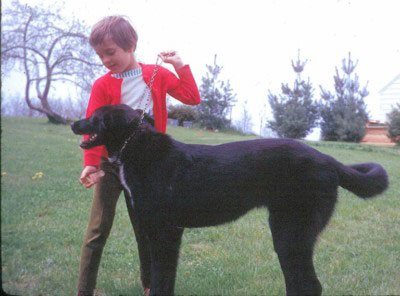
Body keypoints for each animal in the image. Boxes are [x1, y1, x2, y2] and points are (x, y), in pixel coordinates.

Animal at [71, 104, 388, 296]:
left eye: (95, 116)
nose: (74, 122)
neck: (135, 147)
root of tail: (329, 160)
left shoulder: (166, 233)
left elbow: (162, 279)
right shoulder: (154, 232)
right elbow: (161, 279)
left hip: (291, 235)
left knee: (310, 285)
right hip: (287, 235)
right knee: (300, 283)